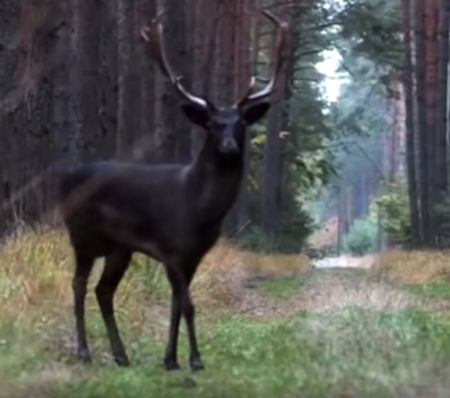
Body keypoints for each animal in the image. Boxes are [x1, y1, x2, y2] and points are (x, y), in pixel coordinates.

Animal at [59, 7, 288, 372]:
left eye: (240, 123)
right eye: (211, 124)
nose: (228, 147)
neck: (198, 208)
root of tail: (64, 180)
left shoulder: (194, 254)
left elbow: (177, 305)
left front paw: (170, 358)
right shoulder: (171, 248)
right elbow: (188, 305)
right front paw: (194, 359)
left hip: (120, 248)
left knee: (103, 290)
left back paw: (121, 355)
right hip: (81, 235)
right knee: (79, 284)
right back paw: (84, 352)